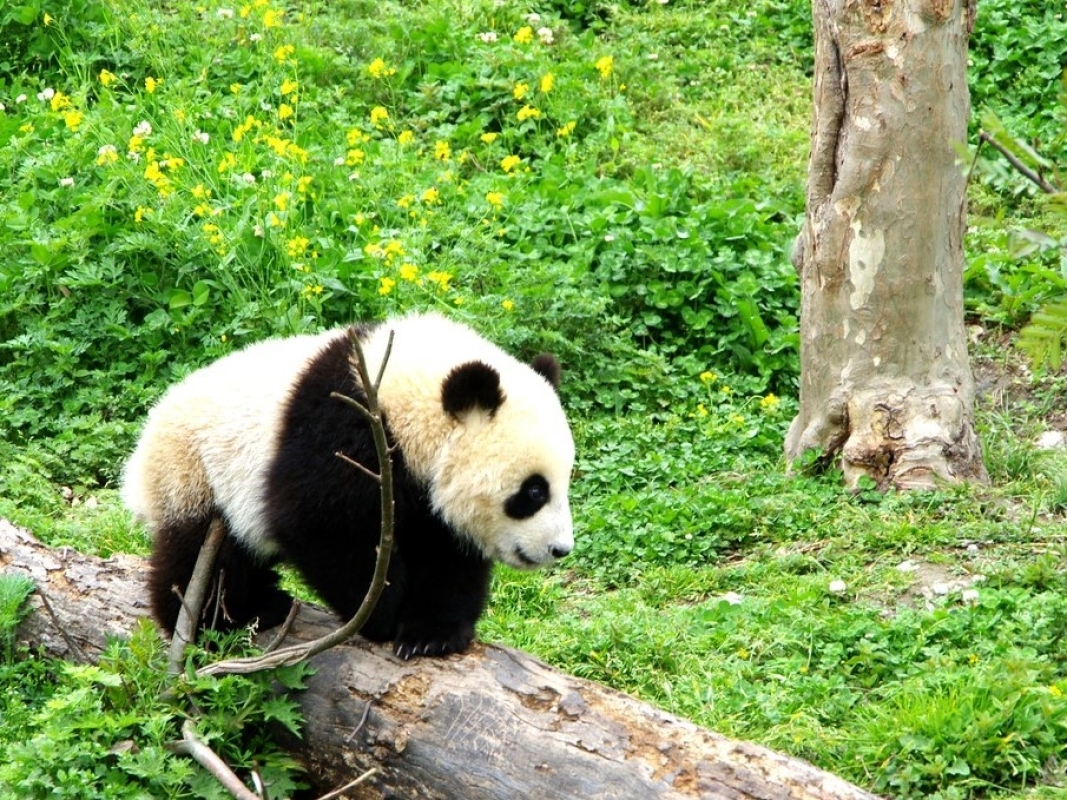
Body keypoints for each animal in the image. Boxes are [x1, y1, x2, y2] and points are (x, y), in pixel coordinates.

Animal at [121, 312, 575, 659]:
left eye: (564, 482)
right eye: (534, 491)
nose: (560, 549)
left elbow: (447, 553)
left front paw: (431, 634)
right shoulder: (342, 429)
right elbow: (319, 523)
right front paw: (381, 614)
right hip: (194, 473)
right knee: (204, 556)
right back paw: (219, 618)